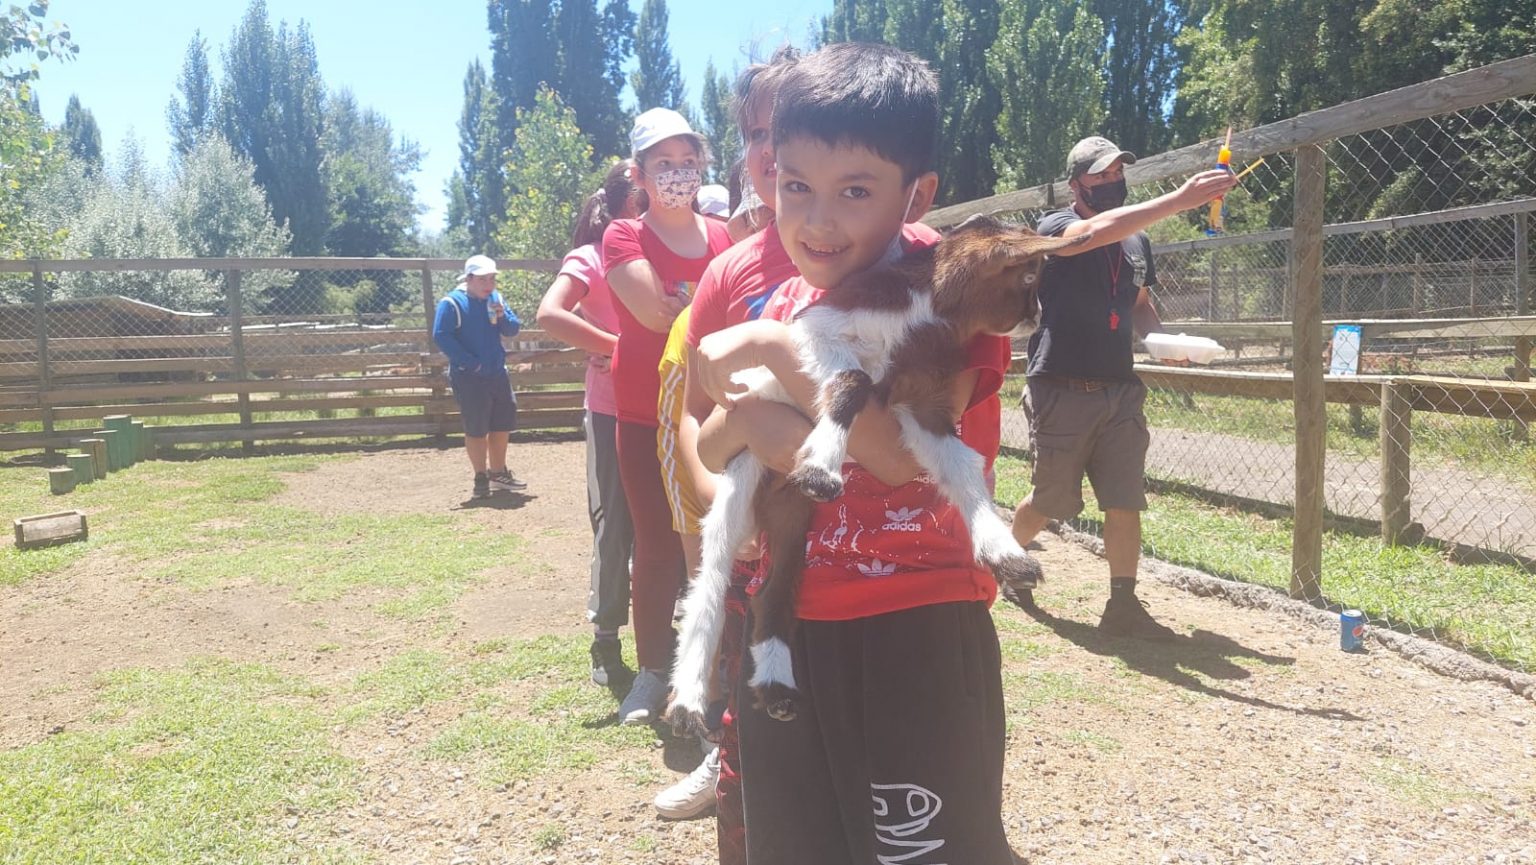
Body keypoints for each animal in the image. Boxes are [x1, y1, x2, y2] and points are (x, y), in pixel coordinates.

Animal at [666, 213, 1087, 728]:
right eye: (1028, 277)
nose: (1038, 314)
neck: (919, 315)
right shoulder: (816, 333)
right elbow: (853, 382)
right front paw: (821, 469)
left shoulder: (925, 402)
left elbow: (962, 466)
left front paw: (1006, 553)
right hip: (740, 478)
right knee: (709, 582)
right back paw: (687, 703)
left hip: (790, 517)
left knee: (770, 590)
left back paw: (777, 689)